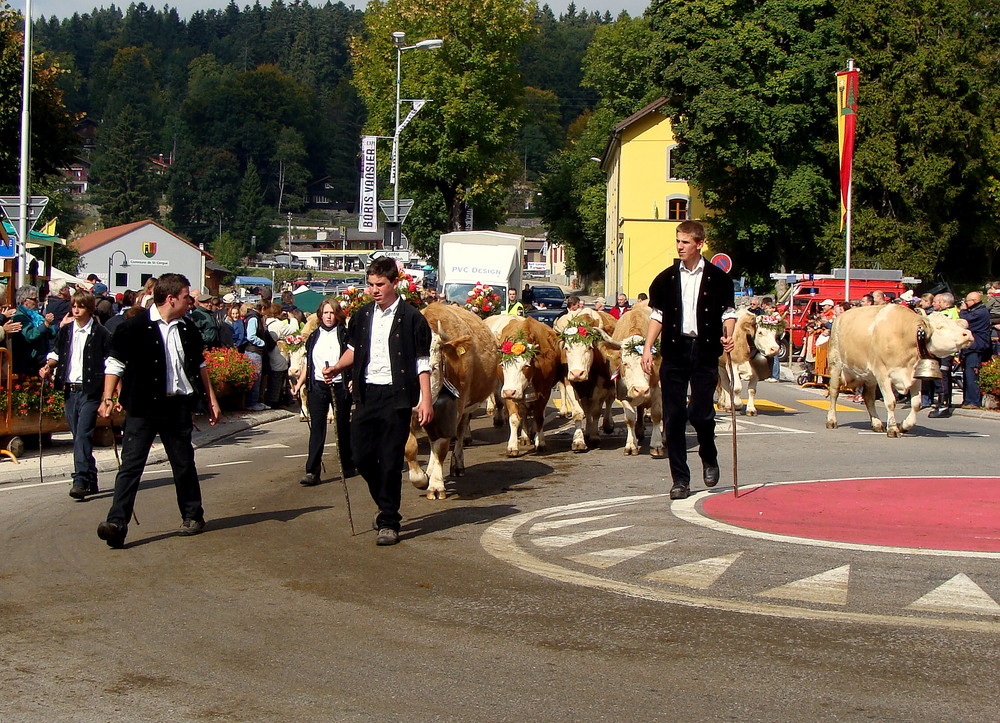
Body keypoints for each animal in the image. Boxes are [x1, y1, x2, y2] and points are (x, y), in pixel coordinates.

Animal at [406, 304, 500, 498]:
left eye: (433, 367)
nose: (416, 406)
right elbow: (410, 448)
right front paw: (421, 478)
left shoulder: (454, 410)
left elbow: (441, 447)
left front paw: (436, 486)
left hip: (466, 409)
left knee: (460, 432)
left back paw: (457, 465)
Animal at [498, 320, 568, 456]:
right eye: (503, 365)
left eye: (526, 366)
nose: (509, 392)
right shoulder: (509, 392)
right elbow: (514, 419)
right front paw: (512, 446)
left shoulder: (544, 392)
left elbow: (539, 417)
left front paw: (540, 442)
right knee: (524, 413)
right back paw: (525, 436)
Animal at [604, 306, 668, 458]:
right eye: (625, 363)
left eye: (650, 363)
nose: (641, 390)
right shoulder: (623, 392)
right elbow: (630, 418)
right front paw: (631, 445)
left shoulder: (658, 390)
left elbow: (657, 415)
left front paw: (657, 445)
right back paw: (639, 432)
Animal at [824, 306, 972, 436]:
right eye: (940, 327)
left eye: (955, 324)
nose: (968, 334)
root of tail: (840, 317)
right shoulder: (882, 374)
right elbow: (890, 401)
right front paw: (893, 429)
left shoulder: (914, 376)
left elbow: (916, 404)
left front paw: (904, 426)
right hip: (836, 365)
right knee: (834, 393)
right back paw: (831, 421)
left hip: (869, 377)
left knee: (868, 398)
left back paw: (877, 424)